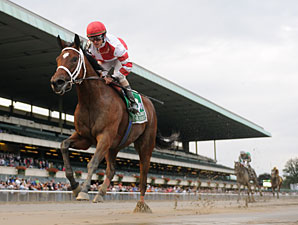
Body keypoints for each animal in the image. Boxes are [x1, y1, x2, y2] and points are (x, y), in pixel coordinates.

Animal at [50, 34, 176, 213]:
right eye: (58, 59)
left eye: (74, 59)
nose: (57, 82)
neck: (92, 98)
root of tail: (150, 105)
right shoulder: (84, 137)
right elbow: (63, 146)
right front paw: (75, 186)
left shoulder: (105, 136)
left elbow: (93, 163)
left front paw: (84, 191)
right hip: (114, 147)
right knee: (111, 170)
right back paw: (100, 194)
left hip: (144, 143)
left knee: (143, 174)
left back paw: (141, 204)